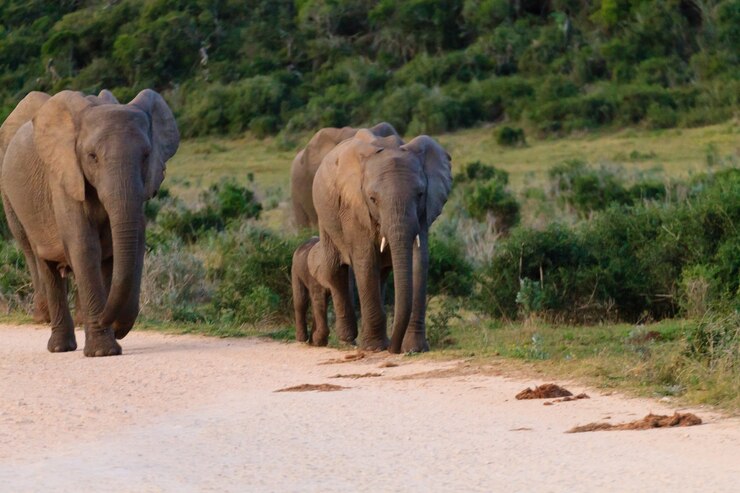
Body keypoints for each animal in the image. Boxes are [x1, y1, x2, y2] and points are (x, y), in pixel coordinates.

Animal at [0, 88, 179, 356]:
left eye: (146, 156)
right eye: (92, 157)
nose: (108, 320)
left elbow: (128, 245)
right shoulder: (64, 177)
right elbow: (85, 247)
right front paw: (103, 351)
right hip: (17, 203)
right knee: (44, 262)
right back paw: (60, 345)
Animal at [308, 131, 450, 354]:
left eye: (420, 194)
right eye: (373, 199)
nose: (395, 349)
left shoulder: (424, 212)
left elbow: (420, 261)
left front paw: (415, 348)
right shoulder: (353, 206)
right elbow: (365, 261)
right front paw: (374, 348)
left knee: (381, 274)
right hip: (325, 214)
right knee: (334, 269)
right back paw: (348, 339)